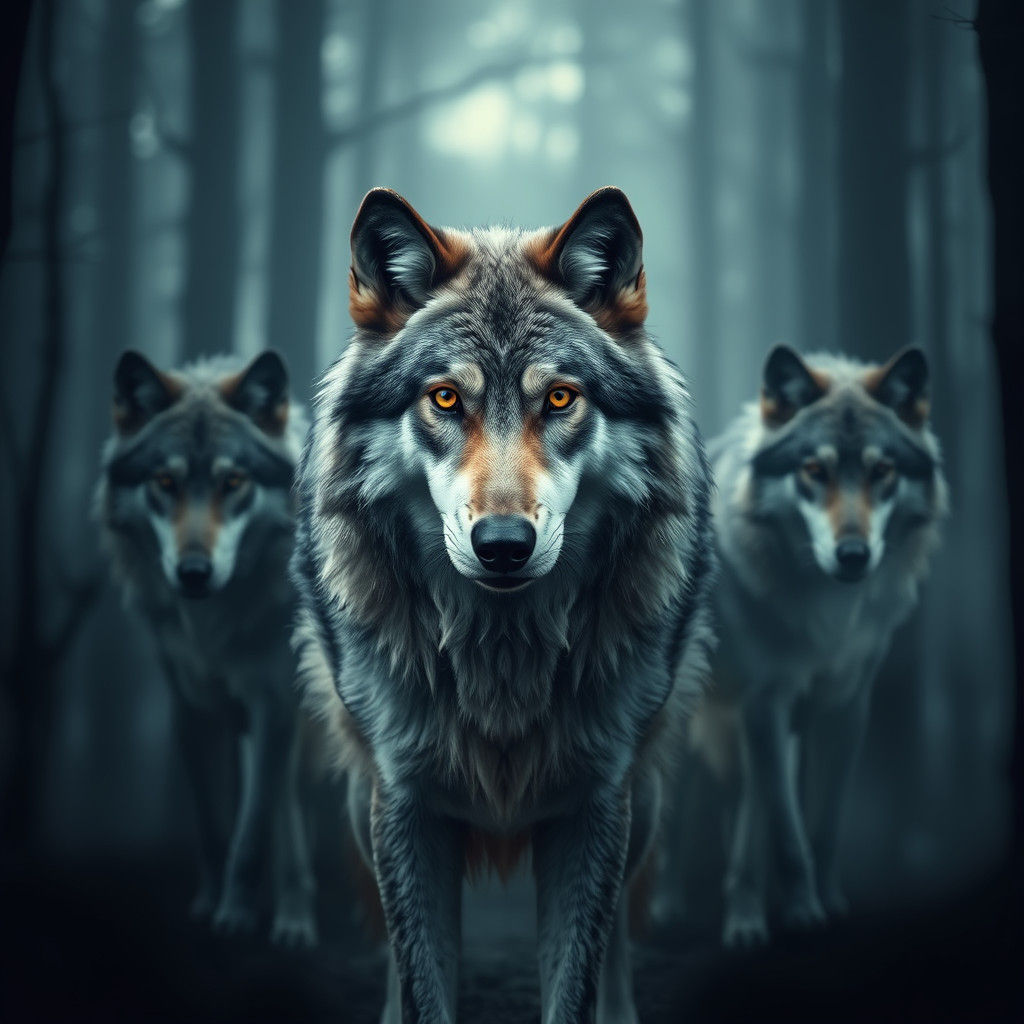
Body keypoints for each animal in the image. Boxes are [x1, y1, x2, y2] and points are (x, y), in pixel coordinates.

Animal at [96, 350, 317, 947]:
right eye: (165, 481)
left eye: (233, 481)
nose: (193, 572)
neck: (213, 629)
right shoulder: (191, 709)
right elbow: (216, 826)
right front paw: (212, 904)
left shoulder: (274, 707)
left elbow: (252, 830)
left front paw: (237, 917)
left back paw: (297, 916)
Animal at [292, 187, 715, 1023]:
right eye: (446, 398)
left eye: (559, 398)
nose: (504, 546)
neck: (502, 655)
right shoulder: (406, 803)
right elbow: (421, 983)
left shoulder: (595, 803)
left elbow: (576, 984)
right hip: (363, 797)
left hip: (642, 799)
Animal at [693, 344, 947, 947]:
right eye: (814, 471)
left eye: (882, 471)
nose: (853, 554)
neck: (830, 618)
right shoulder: (764, 707)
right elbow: (788, 837)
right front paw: (802, 913)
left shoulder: (846, 708)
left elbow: (822, 824)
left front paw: (826, 903)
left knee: (748, 809)